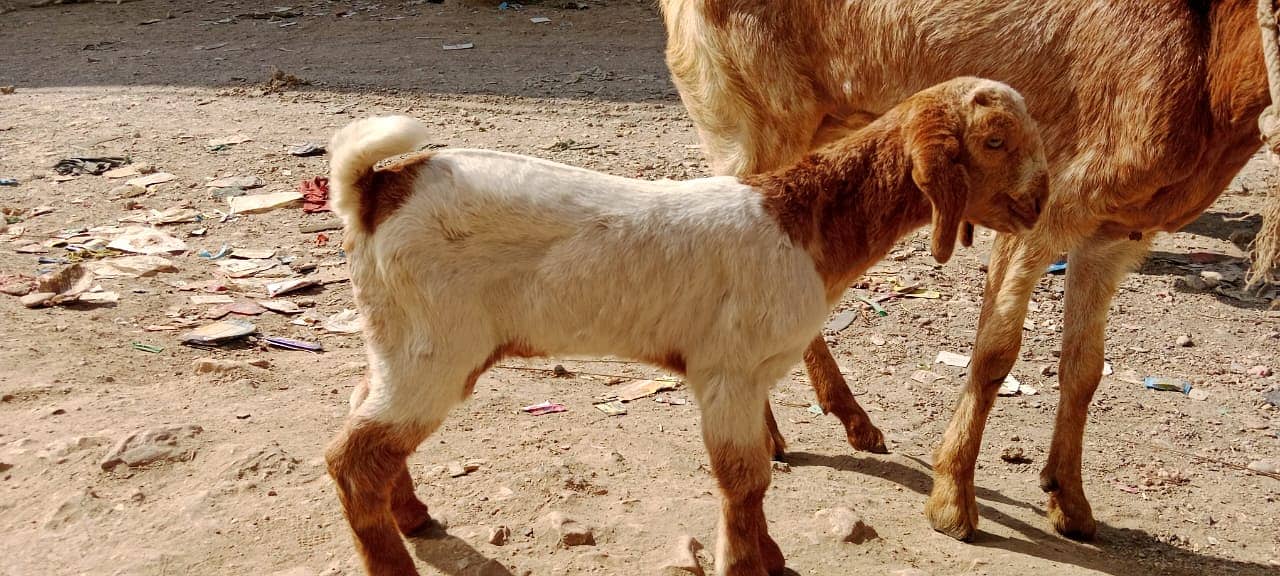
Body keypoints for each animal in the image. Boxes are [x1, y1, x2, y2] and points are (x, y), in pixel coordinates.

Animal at [665, 0, 1274, 545]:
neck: (1207, 54)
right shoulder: (1045, 207)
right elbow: (995, 352)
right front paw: (953, 502)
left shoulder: (1117, 236)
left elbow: (1085, 368)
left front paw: (1071, 502)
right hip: (752, 121)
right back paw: (774, 431)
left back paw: (853, 423)